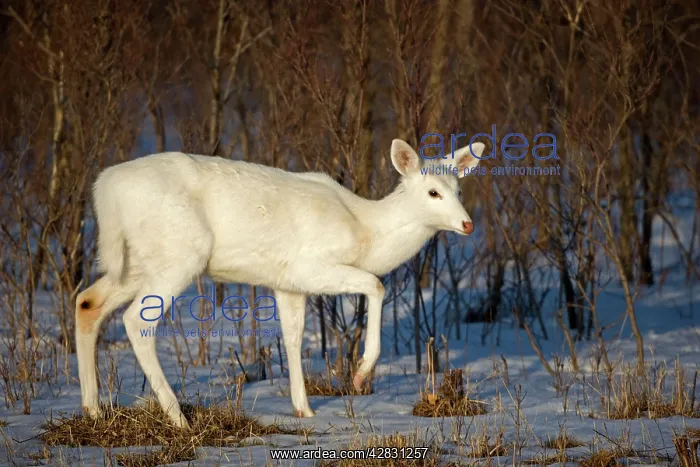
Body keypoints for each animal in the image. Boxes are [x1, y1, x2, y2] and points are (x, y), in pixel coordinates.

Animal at [75, 138, 484, 429]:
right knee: (136, 321)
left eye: (459, 190)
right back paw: (178, 418)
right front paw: (359, 374)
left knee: (87, 301)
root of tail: (105, 190)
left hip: (135, 263)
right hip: (181, 253)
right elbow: (376, 285)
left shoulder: (287, 284)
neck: (365, 231)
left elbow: (293, 336)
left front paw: (303, 409)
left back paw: (93, 410)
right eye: (433, 192)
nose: (467, 224)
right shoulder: (308, 266)